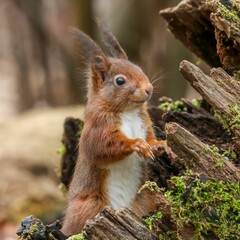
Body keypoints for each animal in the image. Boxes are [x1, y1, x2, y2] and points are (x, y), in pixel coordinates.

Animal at [62, 24, 171, 236]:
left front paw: (162, 145)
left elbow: (152, 140)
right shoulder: (96, 130)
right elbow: (105, 147)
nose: (149, 89)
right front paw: (137, 144)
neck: (127, 111)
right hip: (90, 208)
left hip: (144, 200)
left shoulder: (145, 124)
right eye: (120, 81)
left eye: (139, 68)